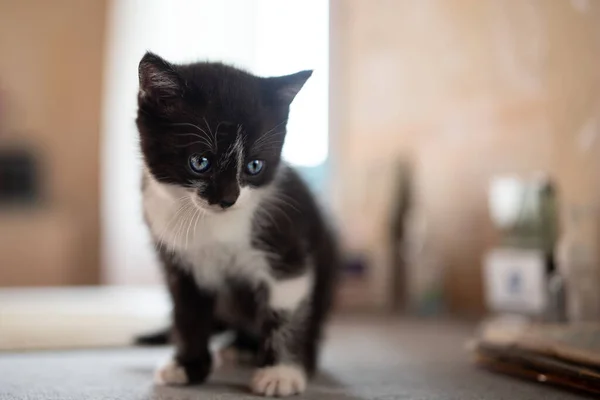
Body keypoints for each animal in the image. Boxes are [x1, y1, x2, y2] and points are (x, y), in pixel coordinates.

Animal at [138, 52, 340, 396]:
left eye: (254, 166)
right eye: (200, 162)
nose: (227, 199)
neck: (213, 225)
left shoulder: (285, 242)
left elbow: (285, 308)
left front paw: (280, 372)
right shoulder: (177, 260)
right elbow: (187, 312)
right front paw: (187, 367)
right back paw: (240, 346)